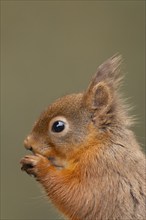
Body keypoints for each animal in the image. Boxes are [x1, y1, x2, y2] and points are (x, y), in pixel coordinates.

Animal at [20, 55, 146, 220]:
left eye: (58, 126)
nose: (28, 143)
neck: (99, 143)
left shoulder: (104, 170)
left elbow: (81, 198)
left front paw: (40, 166)